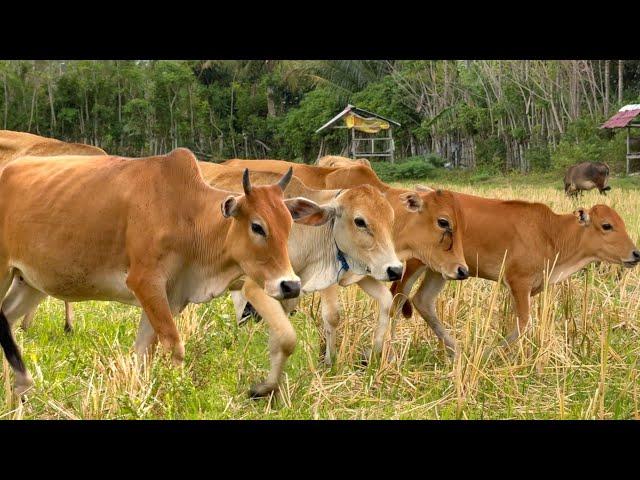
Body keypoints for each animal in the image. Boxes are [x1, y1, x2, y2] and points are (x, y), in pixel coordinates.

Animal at [390, 191, 640, 352]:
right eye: (607, 225)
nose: (636, 254)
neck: (551, 234)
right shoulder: (519, 281)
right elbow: (523, 323)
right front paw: (491, 352)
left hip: (441, 270)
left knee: (423, 301)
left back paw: (455, 350)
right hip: (414, 264)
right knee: (397, 297)